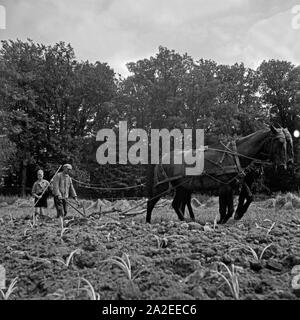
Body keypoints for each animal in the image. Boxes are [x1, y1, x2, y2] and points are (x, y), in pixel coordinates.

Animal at [146, 124, 288, 224]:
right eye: (280, 142)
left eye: (286, 142)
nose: (283, 165)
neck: (235, 155)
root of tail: (161, 158)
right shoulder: (224, 186)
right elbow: (225, 207)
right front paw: (222, 220)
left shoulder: (230, 185)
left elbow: (233, 205)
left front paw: (226, 219)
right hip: (163, 185)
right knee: (151, 202)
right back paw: (148, 222)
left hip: (181, 187)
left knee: (176, 204)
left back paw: (185, 221)